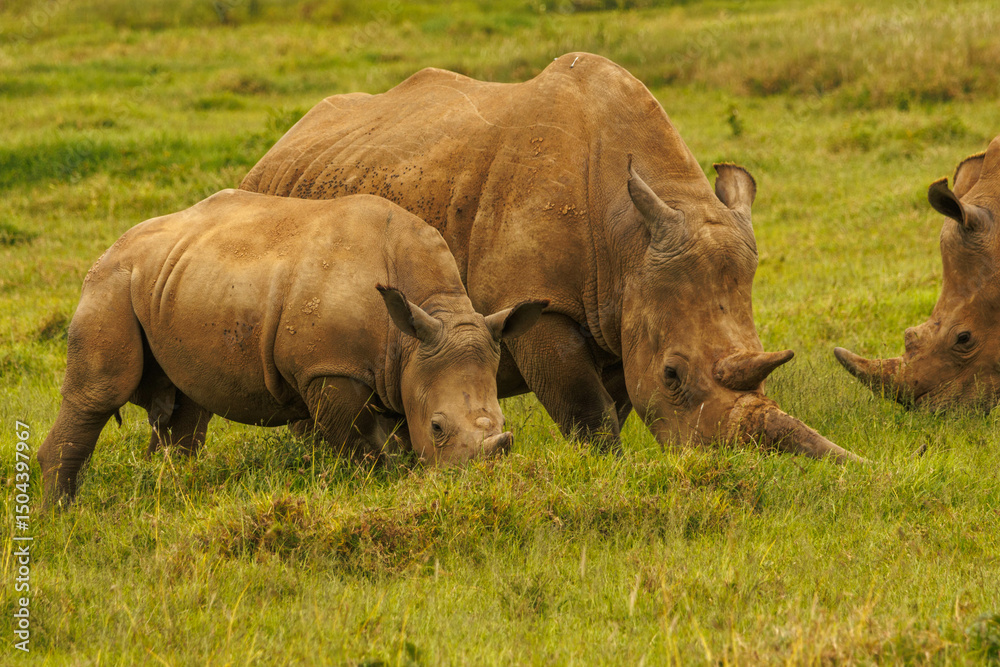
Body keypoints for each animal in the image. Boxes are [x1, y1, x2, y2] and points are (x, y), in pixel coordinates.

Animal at [37, 191, 546, 501]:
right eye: (438, 428)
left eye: (505, 426)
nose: (478, 485)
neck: (422, 321)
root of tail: (115, 244)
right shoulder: (329, 368)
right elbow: (361, 446)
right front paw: (376, 486)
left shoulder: (405, 366)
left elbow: (396, 437)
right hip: (112, 281)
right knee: (101, 392)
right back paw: (58, 517)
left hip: (173, 281)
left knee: (185, 410)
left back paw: (169, 492)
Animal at [241, 52, 860, 462]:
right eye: (673, 375)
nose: (721, 463)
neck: (630, 240)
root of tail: (277, 147)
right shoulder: (540, 306)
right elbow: (588, 409)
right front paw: (609, 470)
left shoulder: (620, 312)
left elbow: (615, 401)